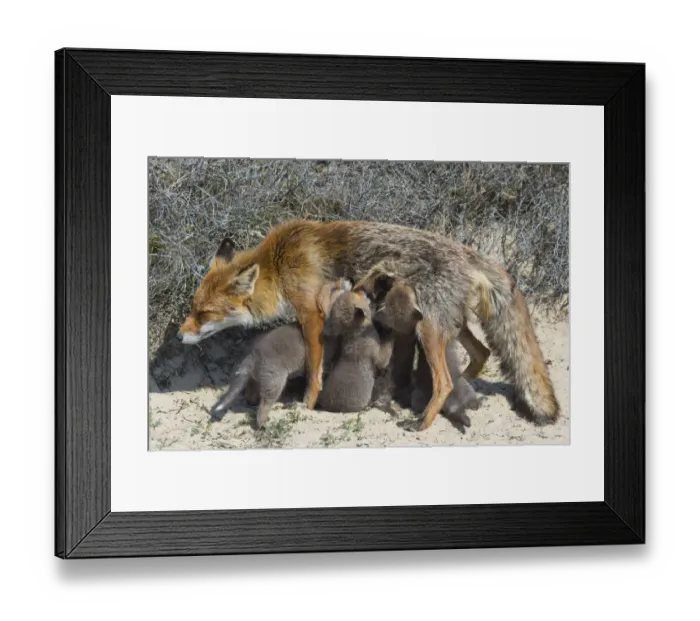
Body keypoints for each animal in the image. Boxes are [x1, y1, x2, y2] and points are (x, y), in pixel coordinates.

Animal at [210, 279, 350, 427]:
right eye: (333, 290)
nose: (347, 280)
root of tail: (253, 356)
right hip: (274, 383)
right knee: (262, 409)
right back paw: (266, 424)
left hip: (256, 380)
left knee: (250, 397)